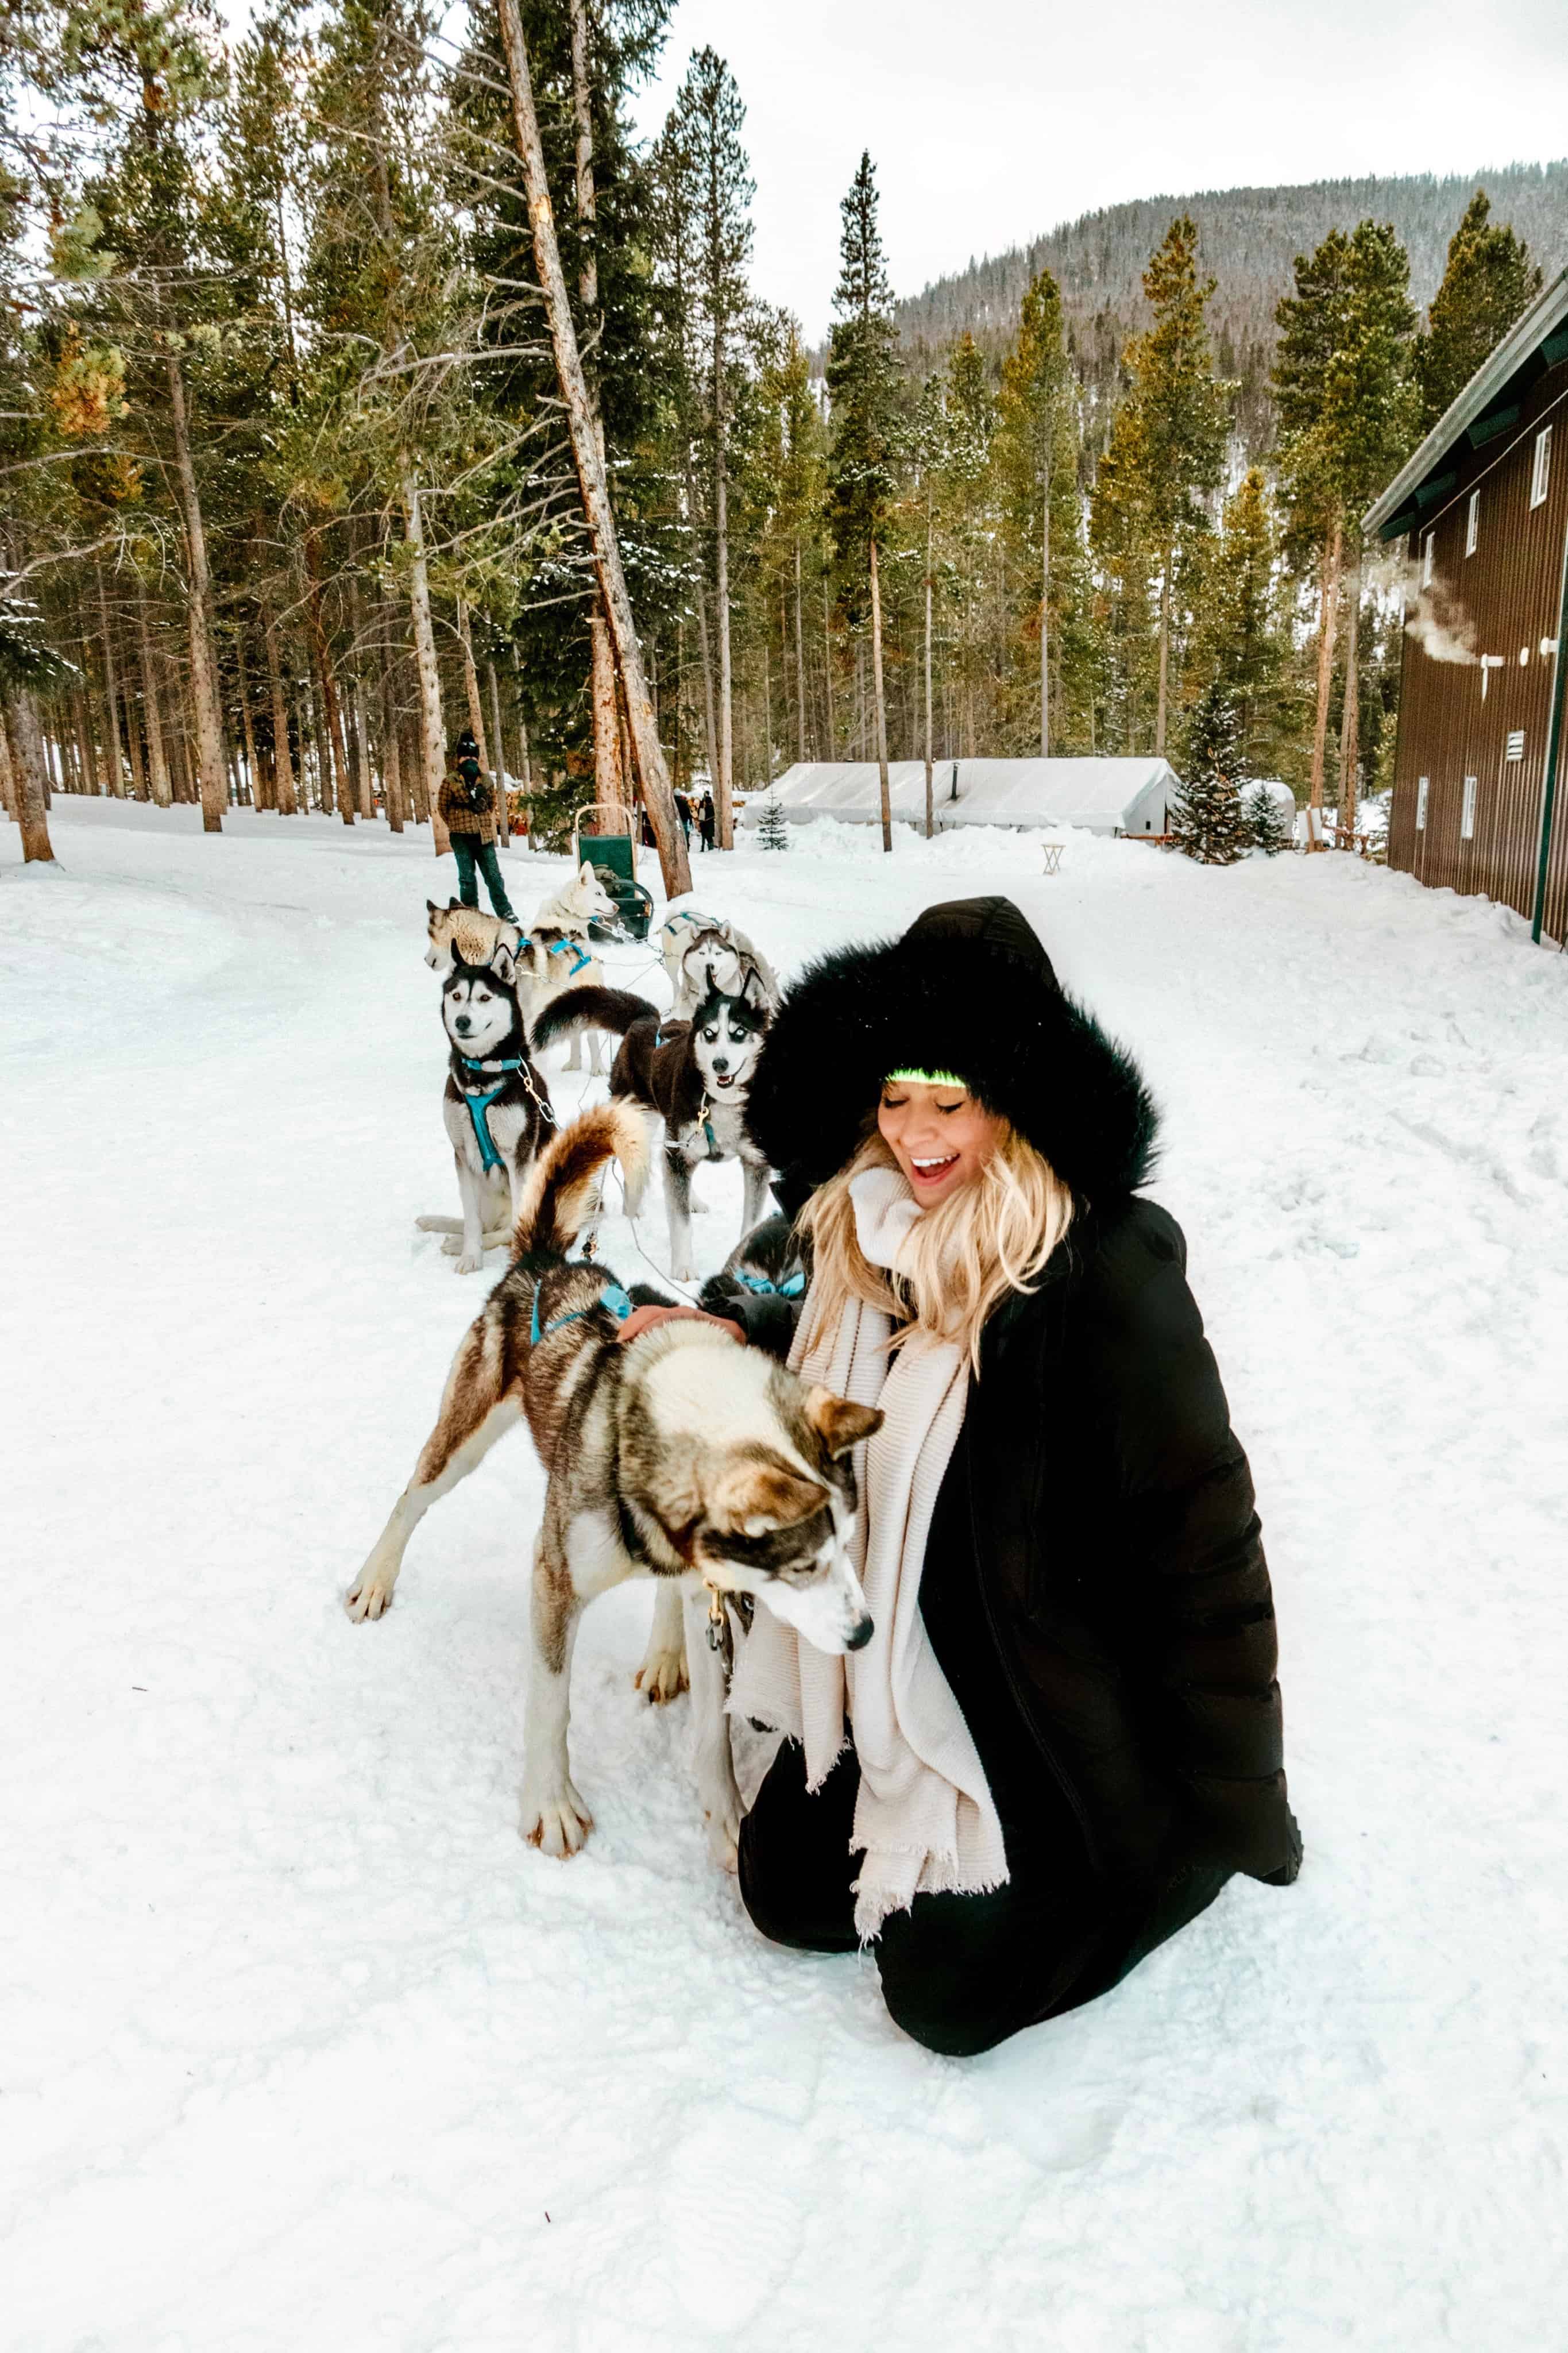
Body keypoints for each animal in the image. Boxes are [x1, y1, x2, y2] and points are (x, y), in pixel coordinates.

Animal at [345, 1106, 883, 1873]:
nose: (866, 1633)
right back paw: (375, 1579)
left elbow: (712, 1735)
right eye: (803, 1564)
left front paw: (725, 1818)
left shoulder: (705, 1594)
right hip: (466, 1433)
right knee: (411, 1497)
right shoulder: (555, 1576)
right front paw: (550, 1804)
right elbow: (550, 1703)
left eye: (850, 1545)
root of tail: (549, 1260)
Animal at [423, 941, 557, 1280]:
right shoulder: (462, 1153)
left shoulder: (519, 1157)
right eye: (457, 996)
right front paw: (471, 1256)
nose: (462, 1021)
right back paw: (444, 1229)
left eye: (485, 998)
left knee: (506, 1229)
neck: (482, 1073)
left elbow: (515, 1226)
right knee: (482, 1223)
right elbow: (472, 1221)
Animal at [536, 974, 775, 1280]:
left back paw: (691, 1199)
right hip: (641, 1121)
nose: (719, 1064)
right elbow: (681, 1225)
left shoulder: (754, 1164)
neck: (722, 1102)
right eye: (710, 1033)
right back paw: (633, 1209)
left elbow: (750, 1223)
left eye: (740, 1032)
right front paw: (684, 1269)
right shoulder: (679, 1153)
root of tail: (647, 1020)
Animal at [658, 908, 780, 1021]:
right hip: (671, 964)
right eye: (702, 953)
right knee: (675, 985)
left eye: (718, 953)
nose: (710, 966)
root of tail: (678, 914)